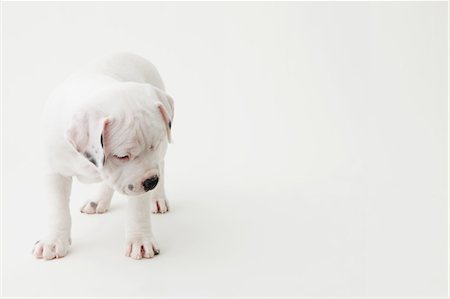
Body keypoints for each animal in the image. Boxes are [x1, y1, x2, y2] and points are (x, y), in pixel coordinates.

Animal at [31, 53, 175, 260]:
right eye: (122, 156)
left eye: (153, 145)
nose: (151, 182)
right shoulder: (55, 172)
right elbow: (57, 209)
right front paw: (53, 240)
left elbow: (138, 209)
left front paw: (140, 241)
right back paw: (98, 200)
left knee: (161, 164)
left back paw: (158, 198)